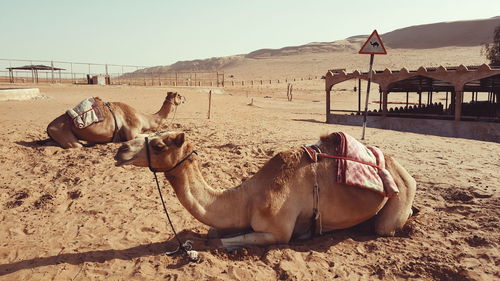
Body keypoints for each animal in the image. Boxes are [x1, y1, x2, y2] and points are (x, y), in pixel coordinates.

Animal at [47, 92, 183, 149]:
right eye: (180, 96)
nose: (185, 98)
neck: (143, 118)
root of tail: (48, 127)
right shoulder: (132, 133)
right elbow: (150, 135)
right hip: (63, 133)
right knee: (76, 145)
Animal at [115, 131, 416, 247]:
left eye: (158, 145)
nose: (121, 149)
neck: (247, 198)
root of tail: (399, 167)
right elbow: (215, 232)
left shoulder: (278, 232)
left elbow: (221, 241)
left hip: (401, 192)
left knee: (385, 226)